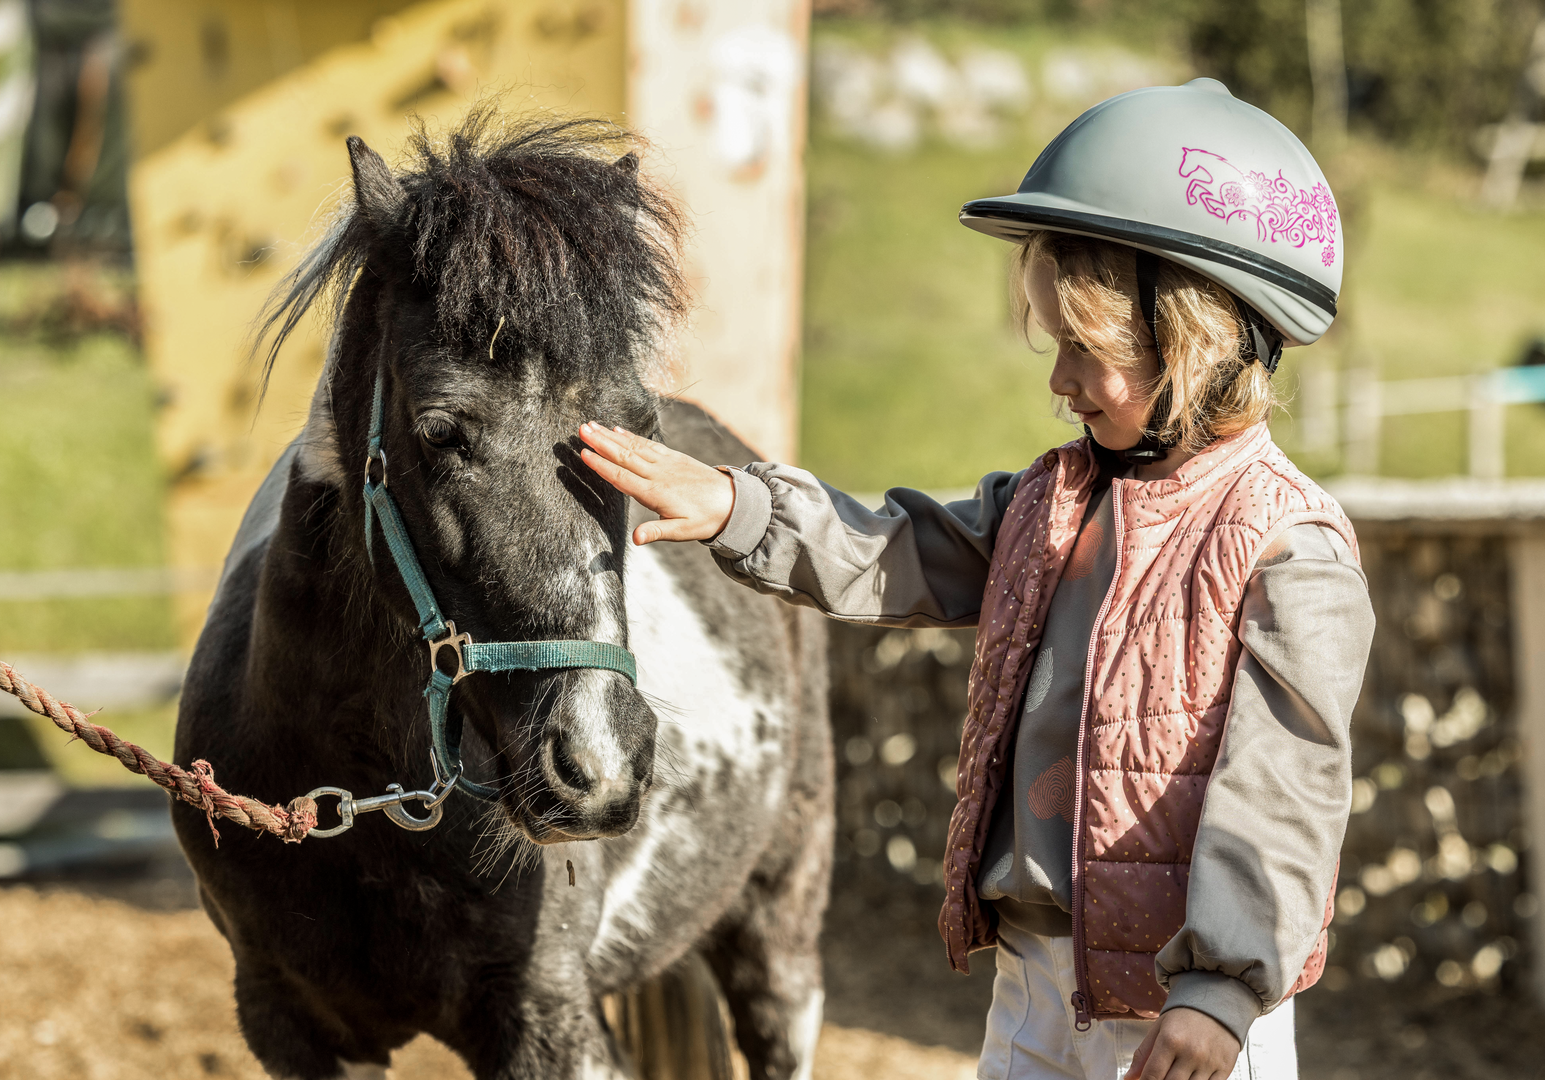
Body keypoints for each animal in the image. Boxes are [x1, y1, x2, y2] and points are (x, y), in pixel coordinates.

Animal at [172, 112, 833, 1080]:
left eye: (637, 429)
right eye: (440, 430)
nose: (596, 764)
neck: (362, 797)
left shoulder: (546, 1024)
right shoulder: (291, 1022)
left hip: (778, 928)